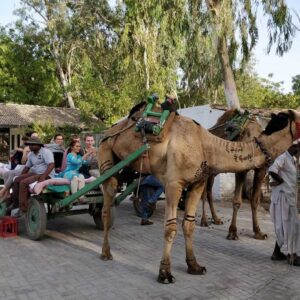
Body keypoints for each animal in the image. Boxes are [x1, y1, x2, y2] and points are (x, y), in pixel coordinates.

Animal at [200, 109, 268, 240]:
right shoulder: (241, 170)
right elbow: (237, 201)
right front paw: (232, 232)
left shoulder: (261, 170)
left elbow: (255, 200)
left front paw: (258, 232)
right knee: (203, 193)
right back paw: (204, 221)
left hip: (212, 172)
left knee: (209, 192)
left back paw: (216, 219)